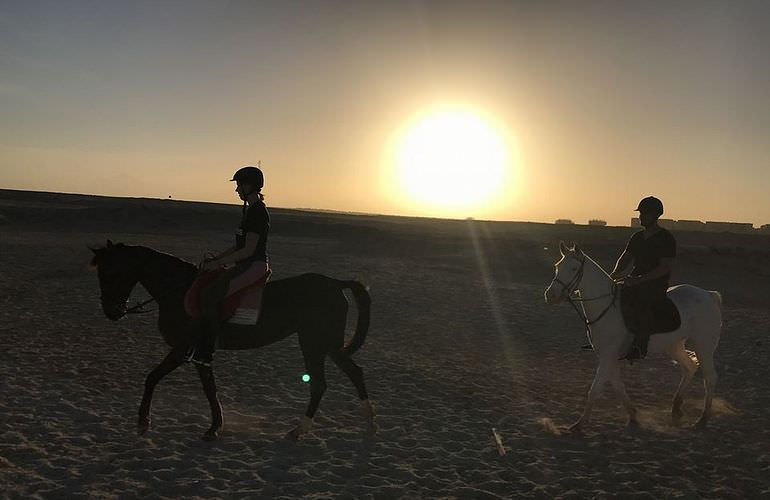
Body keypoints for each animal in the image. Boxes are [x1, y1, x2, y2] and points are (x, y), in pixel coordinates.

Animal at [90, 240, 376, 440]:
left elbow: (155, 377)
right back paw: (369, 423)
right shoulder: (197, 353)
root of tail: (336, 283)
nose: (111, 312)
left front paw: (144, 422)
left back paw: (299, 430)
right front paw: (215, 426)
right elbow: (208, 387)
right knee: (354, 372)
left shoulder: (185, 348)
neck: (179, 291)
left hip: (314, 342)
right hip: (328, 344)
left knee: (320, 383)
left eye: (110, 273)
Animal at [540, 241, 720, 430]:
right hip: (674, 345)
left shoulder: (607, 356)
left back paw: (702, 419)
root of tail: (709, 295)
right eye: (558, 266)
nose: (550, 296)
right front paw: (633, 415)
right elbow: (618, 386)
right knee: (689, 367)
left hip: (704, 346)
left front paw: (579, 424)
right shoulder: (608, 356)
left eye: (574, 268)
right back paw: (677, 409)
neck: (607, 308)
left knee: (710, 377)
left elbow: (595, 389)